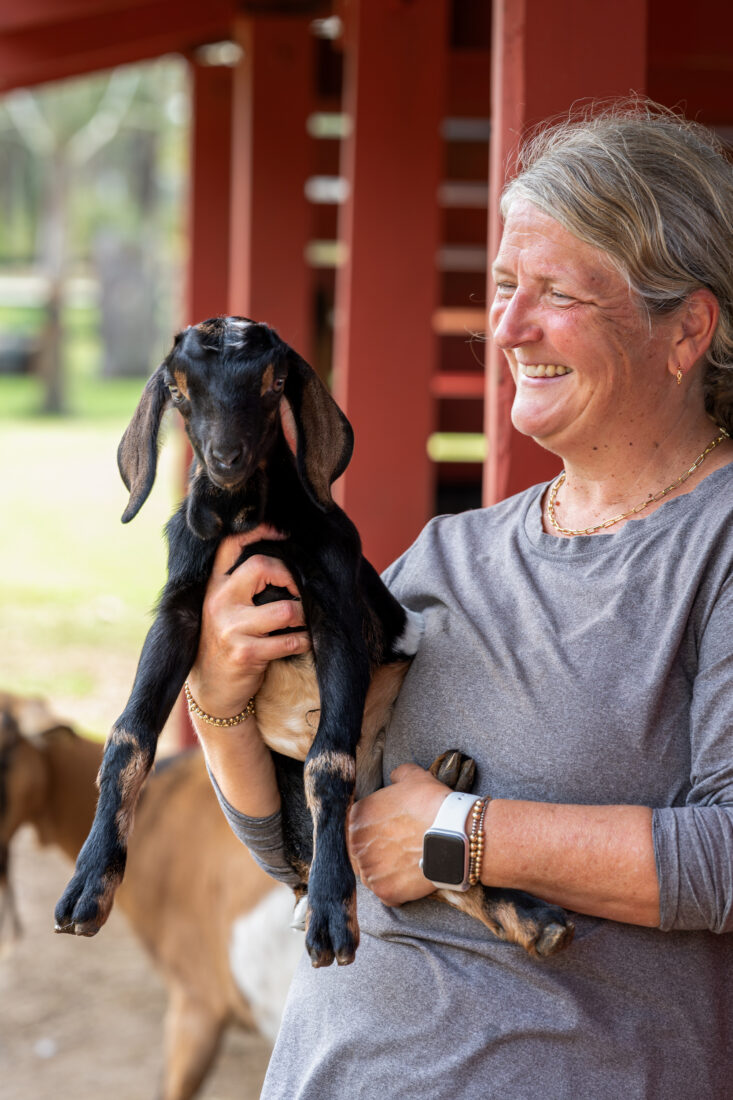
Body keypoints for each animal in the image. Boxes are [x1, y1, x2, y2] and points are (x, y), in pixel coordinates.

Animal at [55, 316, 573, 965]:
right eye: (178, 389)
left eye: (274, 383)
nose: (225, 459)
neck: (246, 520)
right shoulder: (181, 609)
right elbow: (129, 736)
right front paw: (89, 884)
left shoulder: (335, 613)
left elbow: (328, 761)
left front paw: (331, 914)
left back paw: (523, 904)